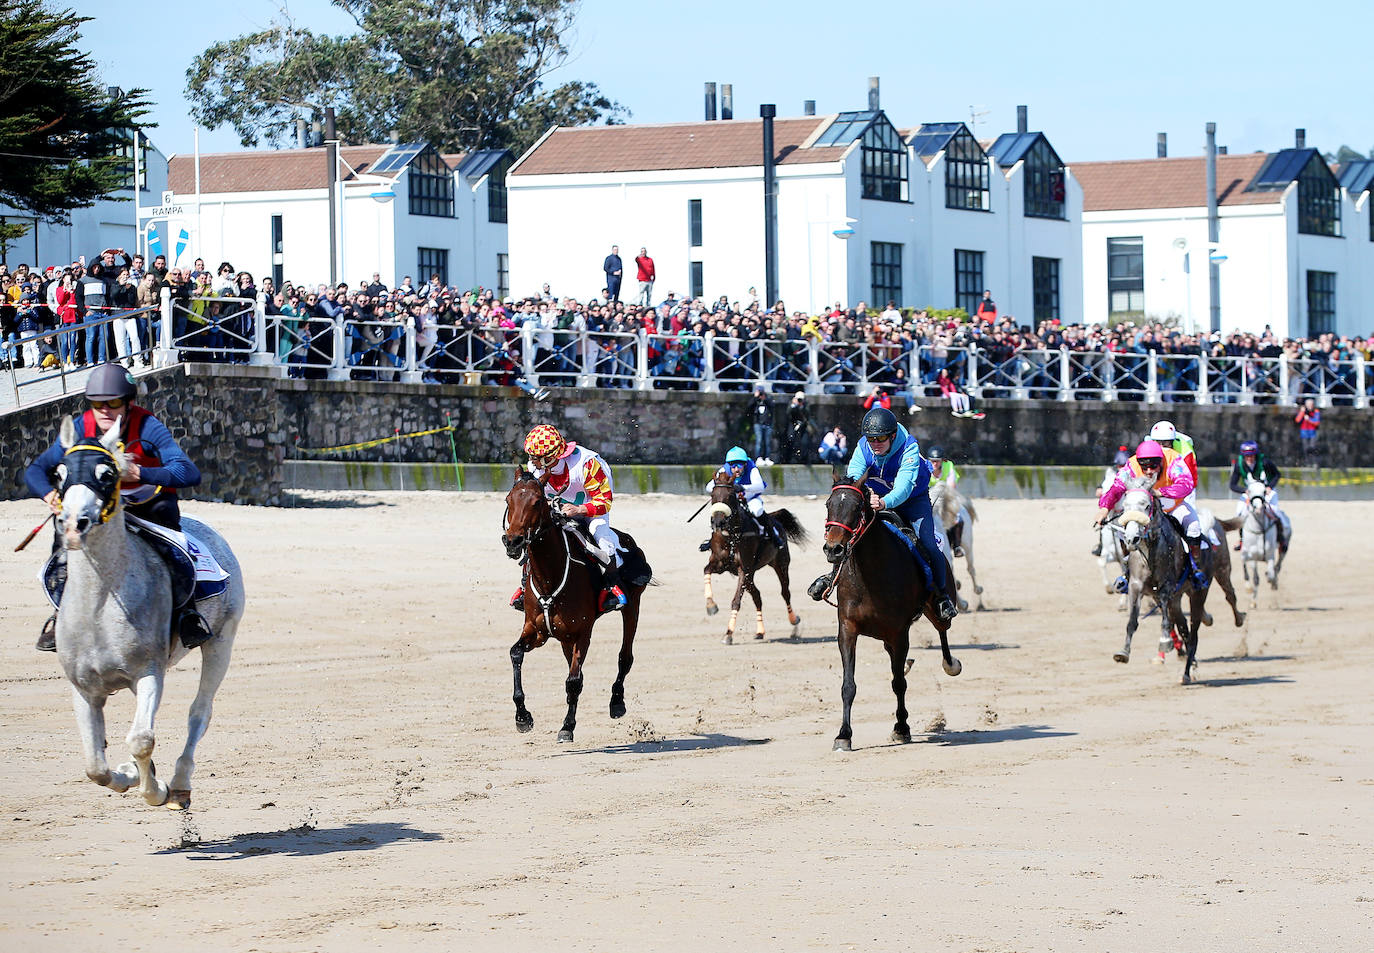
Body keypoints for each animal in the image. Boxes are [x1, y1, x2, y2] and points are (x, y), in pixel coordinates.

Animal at [52, 422, 244, 807]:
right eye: (60, 474)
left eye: (107, 475)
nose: (73, 524)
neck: (99, 606)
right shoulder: (84, 688)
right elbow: (95, 766)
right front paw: (127, 774)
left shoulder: (148, 673)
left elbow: (141, 739)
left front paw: (155, 790)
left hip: (221, 642)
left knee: (199, 712)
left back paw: (180, 783)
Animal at [502, 469, 645, 747]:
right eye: (508, 499)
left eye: (537, 501)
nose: (513, 541)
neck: (550, 577)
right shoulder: (537, 630)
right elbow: (515, 654)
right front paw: (523, 717)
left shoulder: (582, 632)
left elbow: (573, 681)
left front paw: (567, 727)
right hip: (563, 637)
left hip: (632, 606)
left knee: (625, 657)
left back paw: (617, 702)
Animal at [703, 475, 807, 645]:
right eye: (713, 495)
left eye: (730, 496)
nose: (718, 522)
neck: (731, 536)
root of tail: (774, 517)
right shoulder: (720, 564)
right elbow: (706, 570)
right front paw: (711, 606)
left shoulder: (742, 570)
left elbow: (736, 601)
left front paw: (728, 634)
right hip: (751, 575)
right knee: (757, 596)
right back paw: (760, 631)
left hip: (780, 564)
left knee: (785, 593)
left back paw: (794, 621)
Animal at [818, 475, 961, 752]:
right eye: (829, 504)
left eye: (857, 507)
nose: (833, 549)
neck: (870, 573)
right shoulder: (847, 629)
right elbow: (848, 685)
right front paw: (844, 734)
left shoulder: (899, 633)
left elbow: (898, 683)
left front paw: (901, 728)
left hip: (937, 607)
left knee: (943, 631)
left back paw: (950, 664)